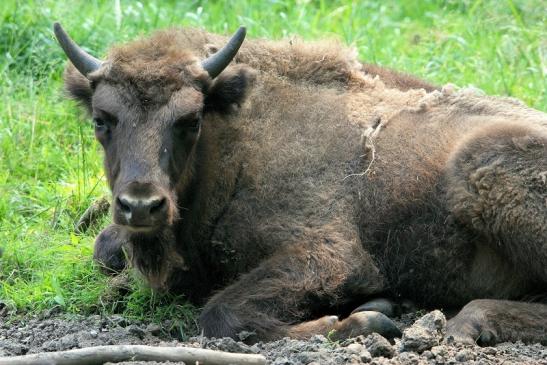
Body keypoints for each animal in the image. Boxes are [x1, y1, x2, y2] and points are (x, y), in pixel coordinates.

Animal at [52, 23, 547, 344]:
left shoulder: (330, 254)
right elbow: (106, 251)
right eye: (102, 120)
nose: (141, 205)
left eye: (190, 120)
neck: (236, 138)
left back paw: (469, 322)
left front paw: (370, 319)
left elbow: (221, 313)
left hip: (475, 168)